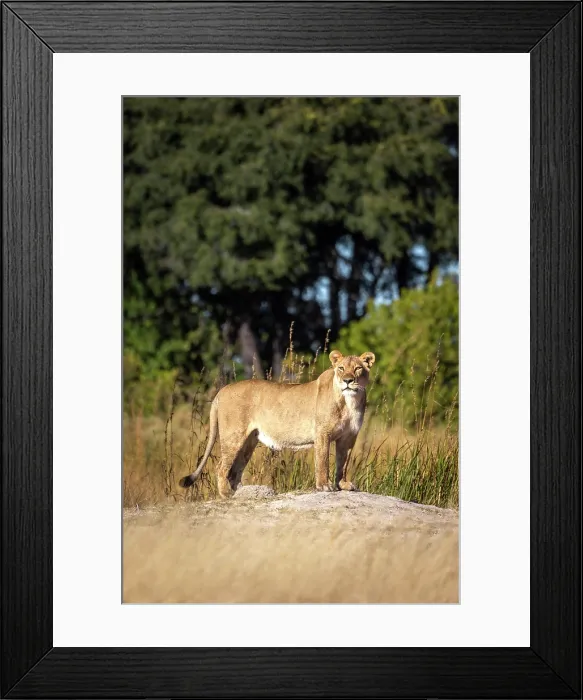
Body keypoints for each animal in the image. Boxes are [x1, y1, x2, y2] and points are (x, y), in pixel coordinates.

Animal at [179, 349, 375, 498]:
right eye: (341, 368)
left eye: (358, 368)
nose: (348, 381)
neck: (349, 401)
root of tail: (222, 390)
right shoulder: (322, 433)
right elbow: (323, 461)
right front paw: (324, 486)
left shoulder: (348, 437)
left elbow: (343, 462)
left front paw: (343, 485)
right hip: (233, 436)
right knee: (221, 467)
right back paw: (227, 495)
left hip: (249, 441)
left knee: (235, 470)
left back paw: (242, 493)